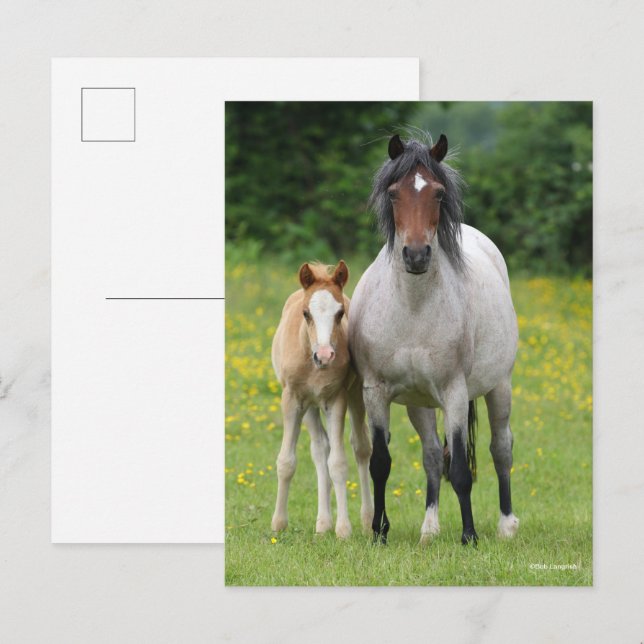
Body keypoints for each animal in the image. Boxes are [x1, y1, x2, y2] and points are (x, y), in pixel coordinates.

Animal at [271, 261, 374, 539]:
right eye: (306, 313)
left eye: (340, 314)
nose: (325, 355)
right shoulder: (292, 399)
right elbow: (287, 461)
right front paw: (279, 523)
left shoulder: (336, 399)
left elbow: (338, 463)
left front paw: (344, 529)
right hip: (309, 407)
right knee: (320, 449)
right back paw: (323, 523)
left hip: (355, 394)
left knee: (361, 447)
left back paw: (367, 519)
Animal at [349, 132, 520, 545]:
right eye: (394, 193)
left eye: (438, 194)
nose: (415, 255)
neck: (412, 308)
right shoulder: (376, 392)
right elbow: (381, 463)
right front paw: (379, 533)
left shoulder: (455, 392)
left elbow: (459, 470)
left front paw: (469, 536)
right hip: (420, 403)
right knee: (429, 455)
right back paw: (429, 529)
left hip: (499, 387)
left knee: (501, 449)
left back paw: (507, 524)